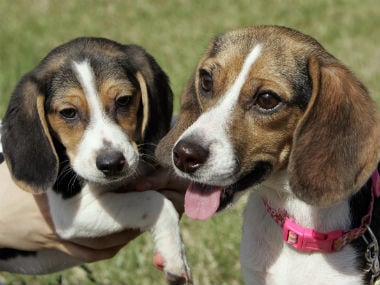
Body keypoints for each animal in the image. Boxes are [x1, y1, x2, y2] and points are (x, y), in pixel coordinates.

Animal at [0, 37, 190, 284]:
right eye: (68, 112)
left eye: (124, 100)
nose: (111, 163)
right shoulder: (70, 212)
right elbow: (155, 201)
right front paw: (175, 259)